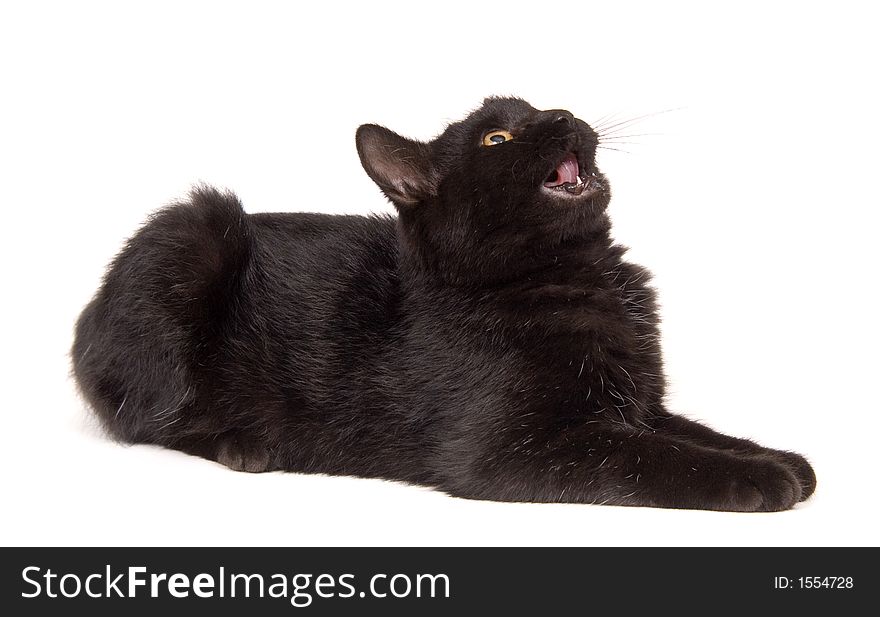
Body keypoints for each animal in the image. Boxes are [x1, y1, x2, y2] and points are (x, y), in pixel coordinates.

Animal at [72, 96, 816, 510]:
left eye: (540, 107)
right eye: (497, 139)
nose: (562, 115)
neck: (586, 274)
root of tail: (86, 314)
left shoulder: (639, 402)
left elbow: (695, 432)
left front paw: (781, 458)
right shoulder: (513, 449)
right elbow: (650, 457)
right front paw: (758, 478)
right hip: (194, 234)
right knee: (148, 416)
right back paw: (247, 443)